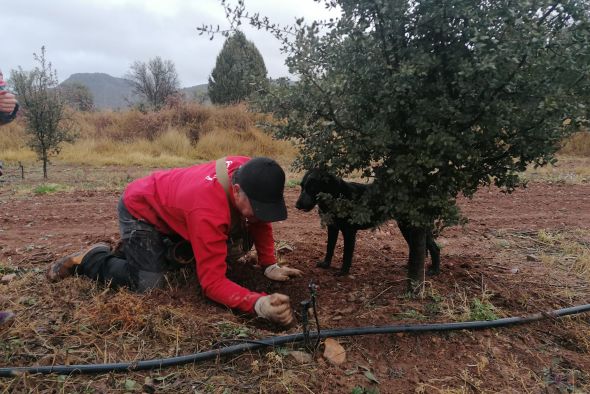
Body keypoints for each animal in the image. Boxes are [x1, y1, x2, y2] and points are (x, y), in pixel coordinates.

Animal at [296, 168, 440, 276]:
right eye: (302, 187)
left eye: (312, 187)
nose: (296, 206)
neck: (336, 196)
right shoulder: (332, 228)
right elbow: (329, 248)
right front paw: (326, 264)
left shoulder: (349, 232)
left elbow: (347, 254)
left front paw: (343, 272)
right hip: (405, 227)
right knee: (415, 247)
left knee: (435, 248)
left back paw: (435, 271)